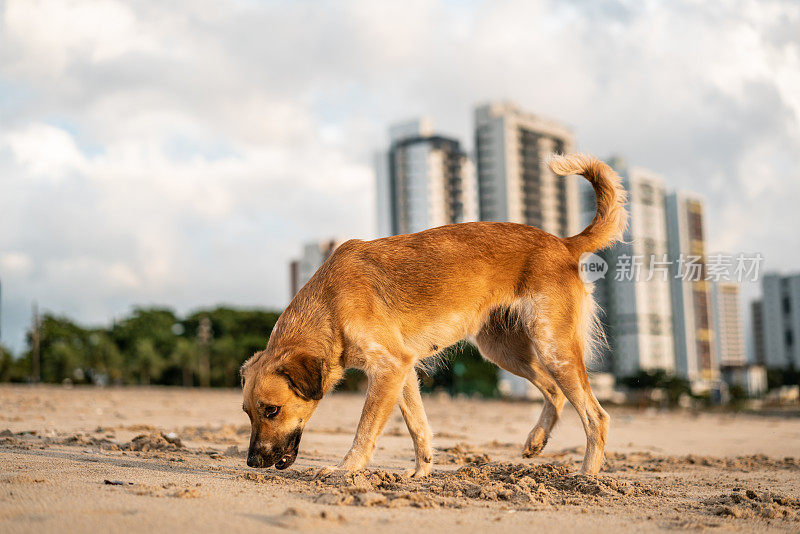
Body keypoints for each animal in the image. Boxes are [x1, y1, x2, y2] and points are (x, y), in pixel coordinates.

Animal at [241, 154, 628, 478]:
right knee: (554, 392)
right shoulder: (402, 372)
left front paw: (345, 470)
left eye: (271, 410)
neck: (331, 303)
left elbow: (365, 429)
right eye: (246, 412)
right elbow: (419, 427)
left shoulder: (389, 367)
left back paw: (587, 475)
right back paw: (537, 440)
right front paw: (421, 473)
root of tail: (563, 243)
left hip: (553, 346)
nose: (252, 462)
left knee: (597, 416)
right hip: (504, 351)